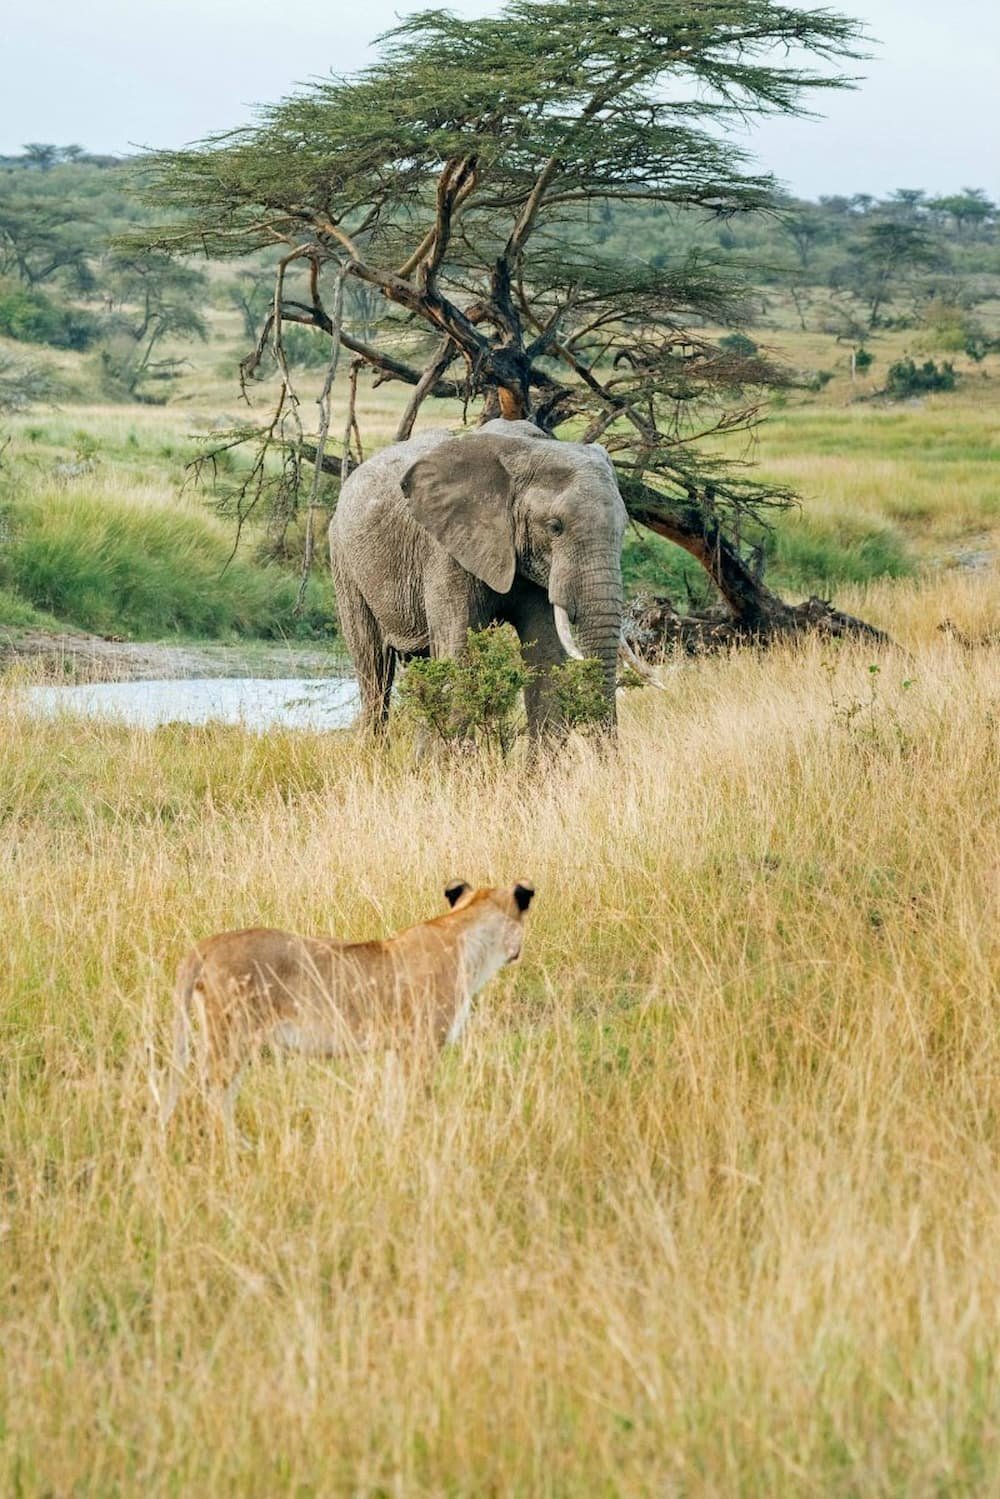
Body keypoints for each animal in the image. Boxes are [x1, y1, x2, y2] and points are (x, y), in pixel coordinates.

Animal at [160, 875, 536, 1133]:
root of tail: (206, 944)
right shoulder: (423, 1044)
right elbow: (419, 1096)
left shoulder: (397, 1047)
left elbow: (393, 1098)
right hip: (232, 1036)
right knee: (211, 1091)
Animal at [332, 416, 629, 737]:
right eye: (554, 527)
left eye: (624, 528)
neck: (528, 449)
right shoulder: (446, 552)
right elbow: (459, 653)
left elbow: (546, 654)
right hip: (345, 563)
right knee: (373, 666)